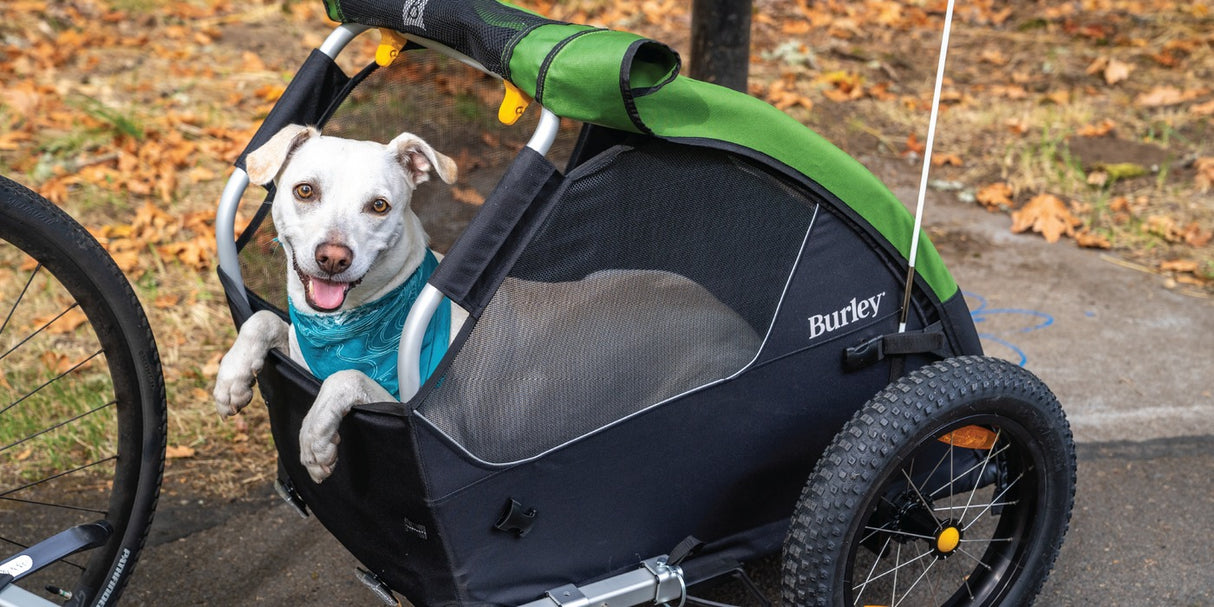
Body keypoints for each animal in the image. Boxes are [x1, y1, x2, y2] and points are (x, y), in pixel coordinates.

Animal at [213, 123, 463, 483]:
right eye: (305, 190)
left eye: (379, 206)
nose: (333, 258)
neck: (340, 325)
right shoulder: (299, 353)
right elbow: (262, 319)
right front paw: (232, 378)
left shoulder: (405, 409)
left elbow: (346, 376)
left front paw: (315, 438)